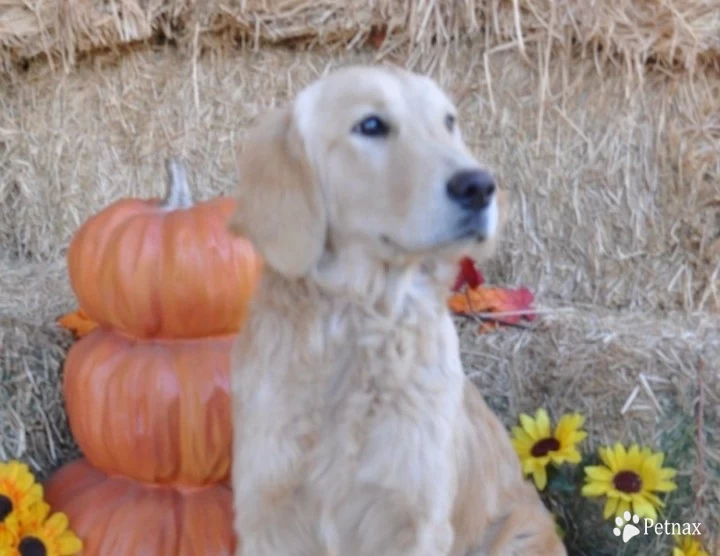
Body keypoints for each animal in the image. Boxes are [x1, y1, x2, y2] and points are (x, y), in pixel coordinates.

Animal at [228, 63, 564, 552]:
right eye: (371, 125)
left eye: (449, 122)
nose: (480, 186)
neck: (361, 326)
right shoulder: (267, 512)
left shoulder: (415, 519)